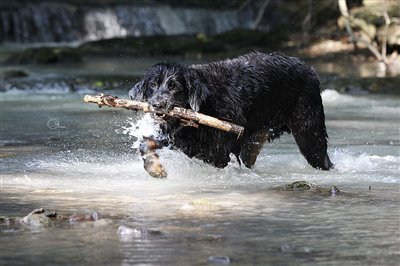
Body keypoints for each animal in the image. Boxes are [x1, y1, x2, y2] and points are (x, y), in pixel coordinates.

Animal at [130, 52, 332, 170]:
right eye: (153, 85)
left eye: (175, 87)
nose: (157, 104)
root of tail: (310, 70)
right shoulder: (177, 140)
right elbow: (146, 143)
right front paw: (153, 167)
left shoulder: (218, 153)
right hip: (254, 140)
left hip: (309, 135)